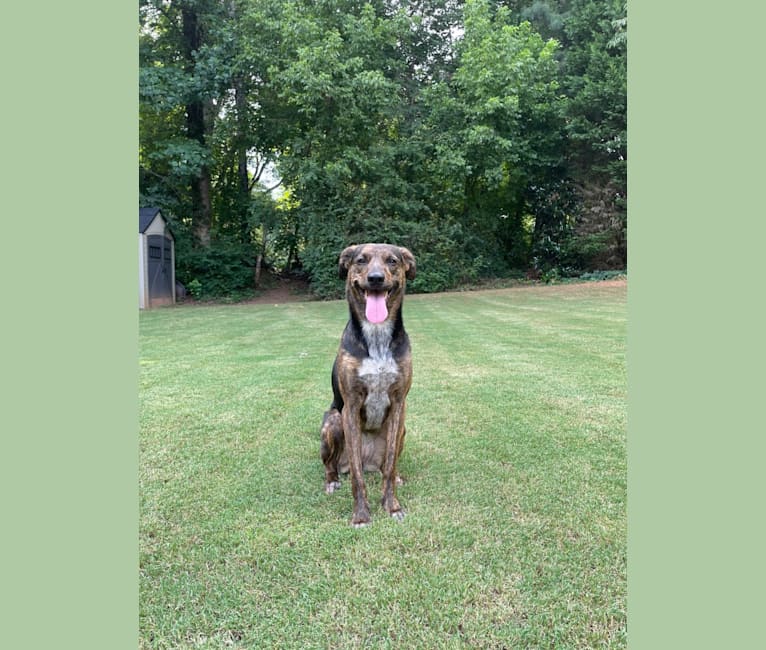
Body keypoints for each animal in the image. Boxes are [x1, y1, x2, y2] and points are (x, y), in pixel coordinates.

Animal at [320, 240, 416, 524]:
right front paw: (361, 515)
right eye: (360, 260)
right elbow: (357, 478)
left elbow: (392, 465)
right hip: (332, 421)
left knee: (388, 467)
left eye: (392, 261)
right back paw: (332, 480)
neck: (377, 334)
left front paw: (392, 506)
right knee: (333, 466)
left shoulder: (399, 403)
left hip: (403, 428)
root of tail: (370, 461)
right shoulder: (350, 406)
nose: (375, 279)